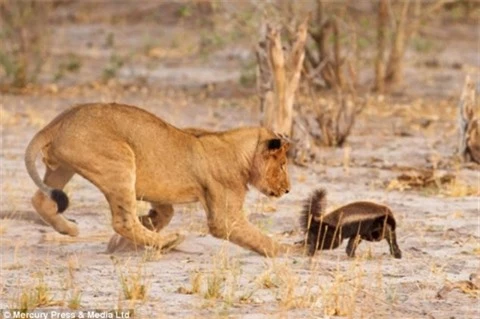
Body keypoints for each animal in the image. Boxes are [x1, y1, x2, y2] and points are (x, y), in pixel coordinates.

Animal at [25, 102, 292, 258]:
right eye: (283, 165)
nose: (288, 190)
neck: (241, 153)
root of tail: (59, 120)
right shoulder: (225, 217)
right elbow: (257, 237)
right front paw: (287, 249)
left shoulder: (160, 195)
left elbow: (163, 214)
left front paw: (122, 242)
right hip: (119, 162)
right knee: (123, 221)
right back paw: (169, 241)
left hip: (63, 168)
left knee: (41, 200)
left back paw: (69, 229)